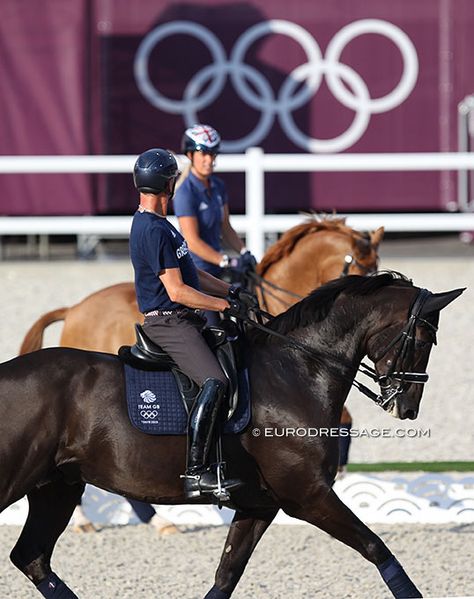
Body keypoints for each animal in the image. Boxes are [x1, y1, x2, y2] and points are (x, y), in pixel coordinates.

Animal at [0, 274, 462, 596]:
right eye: (426, 338)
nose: (407, 408)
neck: (295, 371)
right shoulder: (308, 496)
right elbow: (377, 549)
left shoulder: (260, 504)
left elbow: (226, 575)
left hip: (56, 487)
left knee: (32, 558)